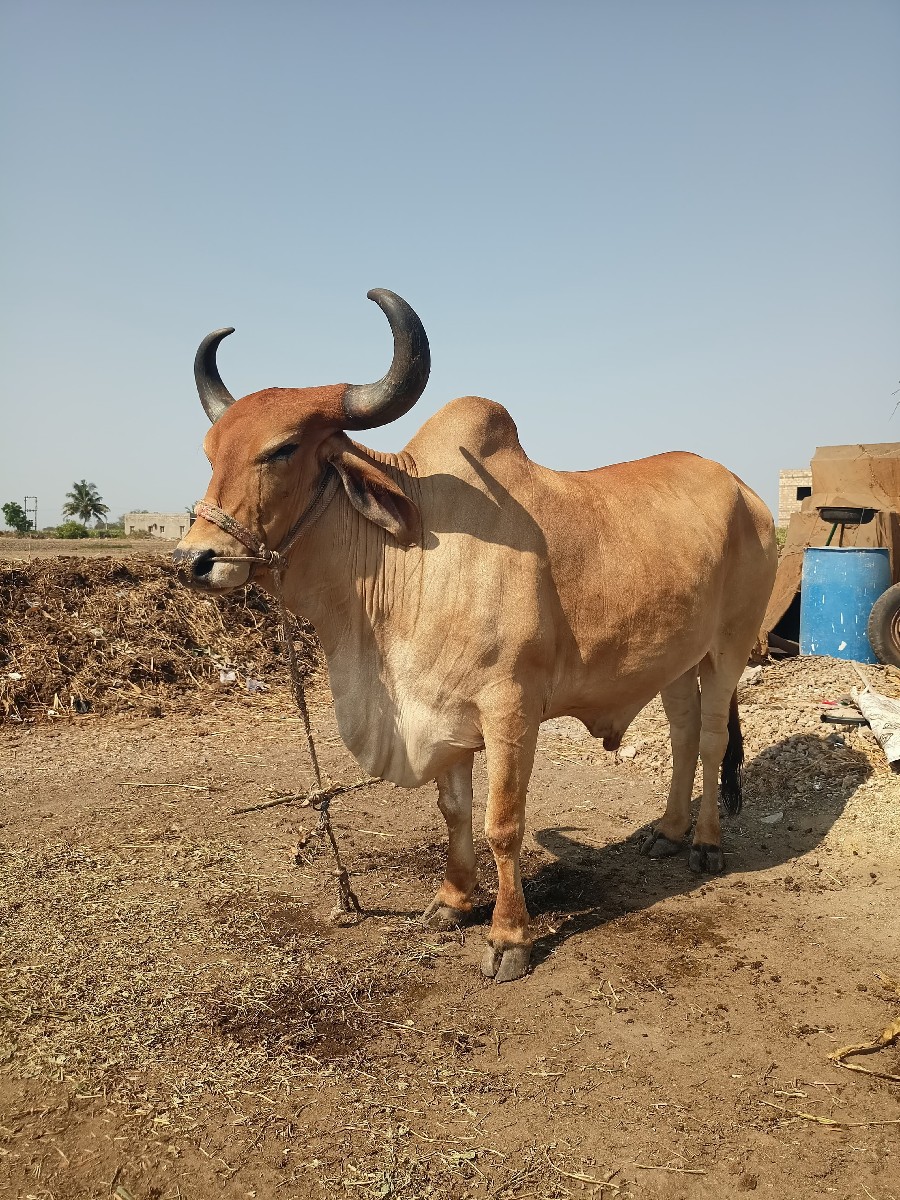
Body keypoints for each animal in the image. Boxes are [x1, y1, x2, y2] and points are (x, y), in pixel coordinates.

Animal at [175, 289, 778, 983]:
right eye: (208, 452)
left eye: (282, 449)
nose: (192, 560)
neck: (407, 564)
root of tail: (747, 493)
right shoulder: (443, 711)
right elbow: (454, 811)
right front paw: (453, 902)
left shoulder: (511, 709)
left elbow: (502, 822)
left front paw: (509, 937)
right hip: (674, 659)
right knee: (682, 733)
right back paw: (669, 833)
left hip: (729, 648)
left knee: (709, 740)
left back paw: (705, 844)